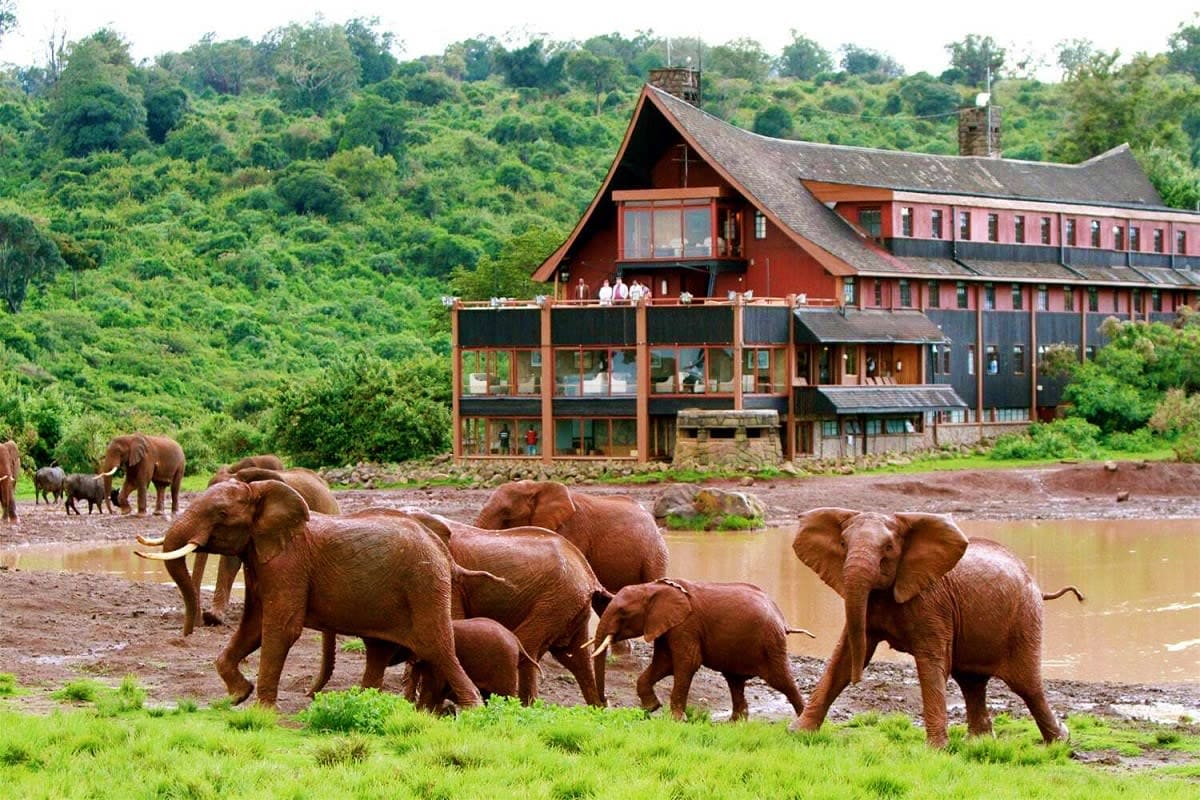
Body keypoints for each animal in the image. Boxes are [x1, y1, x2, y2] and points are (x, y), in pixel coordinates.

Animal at [136, 479, 481, 710]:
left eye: (220, 513)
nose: (187, 632)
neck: (261, 493)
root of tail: (441, 548)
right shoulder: (260, 557)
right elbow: (253, 626)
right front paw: (238, 695)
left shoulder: (289, 563)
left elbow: (280, 628)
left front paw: (261, 712)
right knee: (379, 651)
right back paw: (361, 701)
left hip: (424, 586)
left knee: (437, 647)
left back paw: (472, 708)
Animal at [590, 578, 812, 721]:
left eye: (623, 612)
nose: (604, 704)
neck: (653, 587)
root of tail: (782, 618)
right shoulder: (666, 626)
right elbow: (664, 664)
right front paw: (651, 707)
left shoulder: (686, 626)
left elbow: (686, 663)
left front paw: (677, 720)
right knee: (735, 681)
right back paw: (735, 723)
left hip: (771, 642)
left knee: (781, 680)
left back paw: (803, 721)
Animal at [791, 507, 1084, 747]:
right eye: (842, 544)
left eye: (888, 547)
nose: (858, 681)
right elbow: (843, 658)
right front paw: (798, 734)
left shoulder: (932, 603)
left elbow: (932, 662)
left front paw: (935, 750)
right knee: (972, 682)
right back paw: (978, 743)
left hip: (1024, 618)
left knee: (1027, 685)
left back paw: (1060, 742)